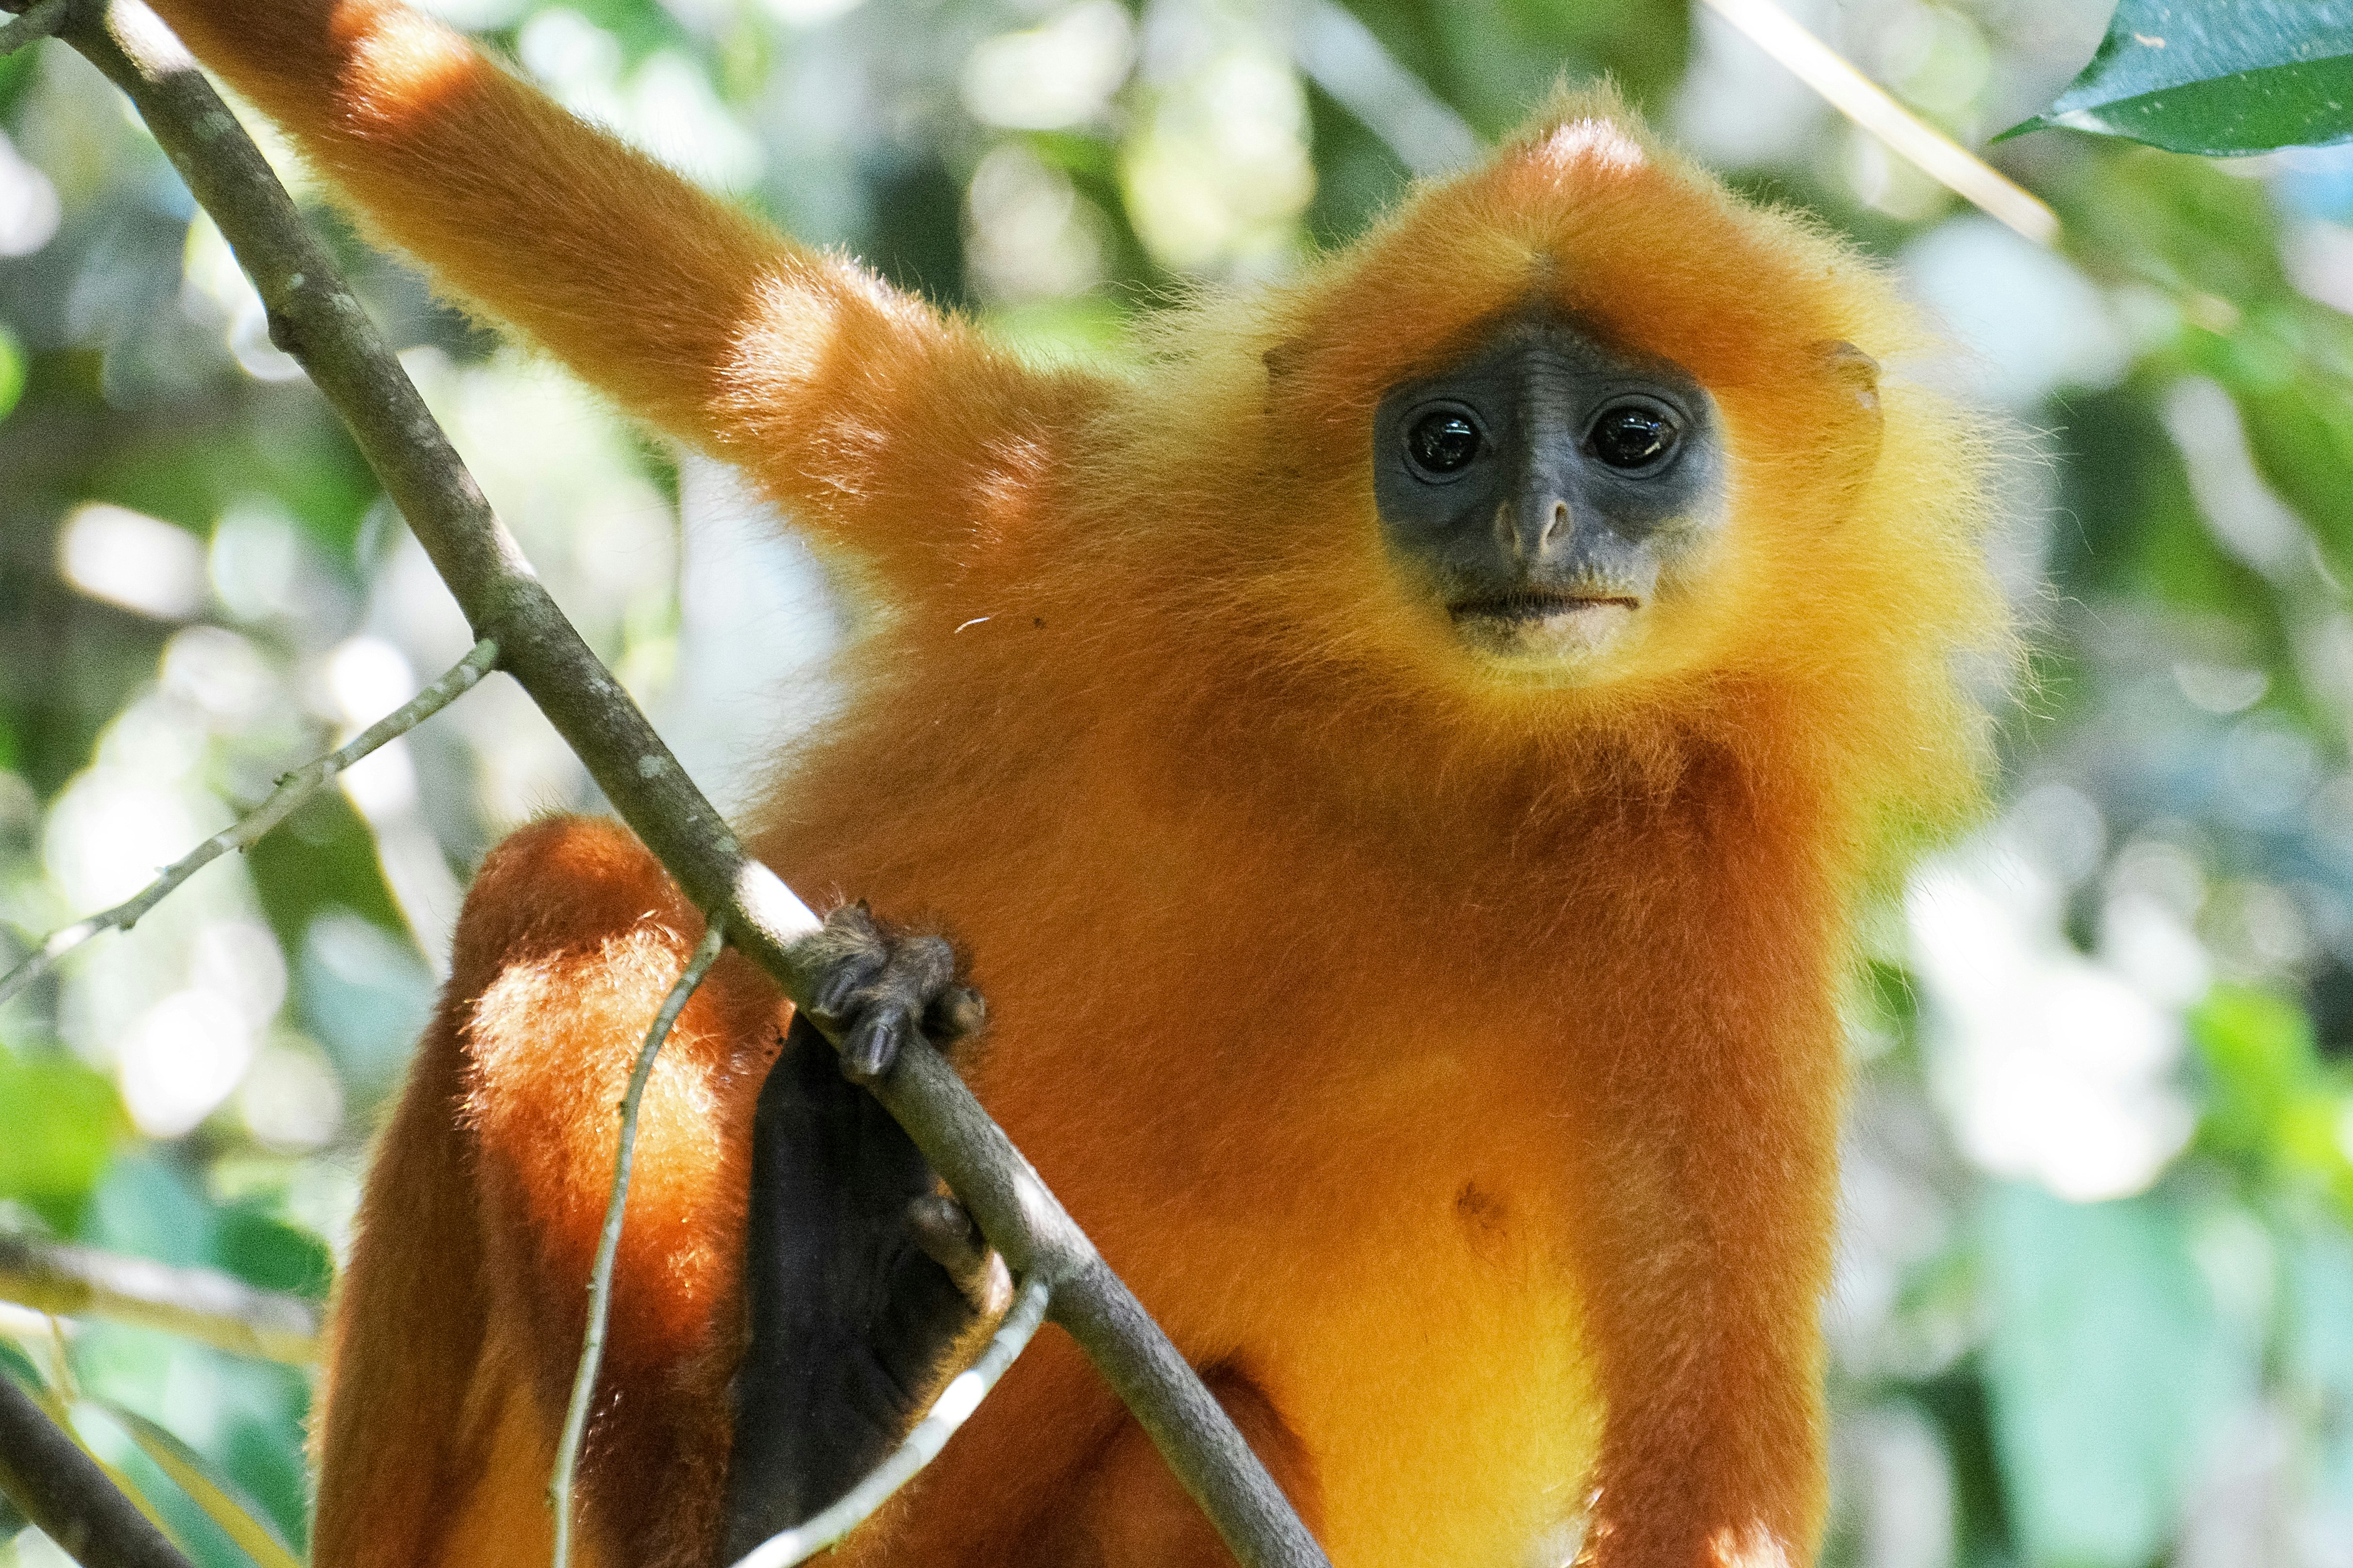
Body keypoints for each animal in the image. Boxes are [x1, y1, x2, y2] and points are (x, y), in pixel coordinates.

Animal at [137, 3, 2004, 1568]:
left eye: (1629, 440)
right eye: (1448, 442)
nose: (1528, 522)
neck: (1442, 744)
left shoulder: (1721, 915)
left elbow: (1713, 1461)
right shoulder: (1084, 526)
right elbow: (610, 244)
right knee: (563, 881)